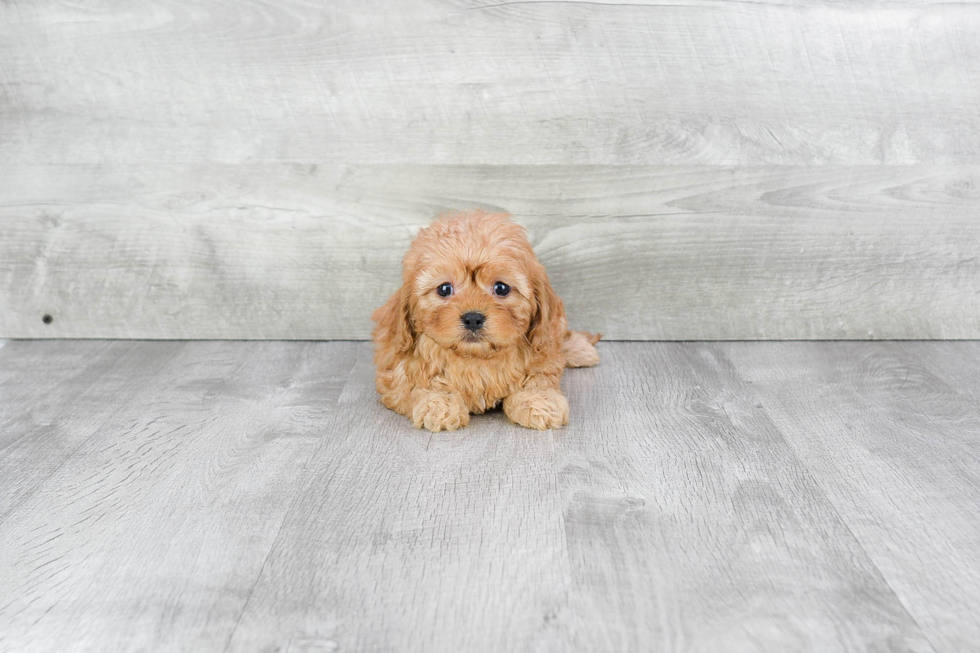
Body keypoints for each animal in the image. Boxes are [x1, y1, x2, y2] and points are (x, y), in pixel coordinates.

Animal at [370, 211, 596, 430]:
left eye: (501, 288)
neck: (475, 358)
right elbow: (416, 385)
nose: (472, 318)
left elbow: (538, 376)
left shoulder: (539, 352)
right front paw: (439, 404)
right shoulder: (397, 371)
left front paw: (539, 400)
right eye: (444, 289)